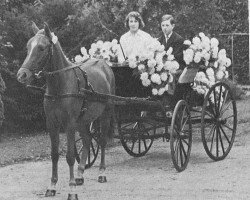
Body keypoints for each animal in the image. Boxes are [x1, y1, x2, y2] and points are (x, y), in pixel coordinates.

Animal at [16, 21, 116, 198]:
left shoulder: (69, 124)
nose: (22, 75)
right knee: (87, 139)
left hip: (105, 114)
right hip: (83, 121)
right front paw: (52, 186)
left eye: (41, 48)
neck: (60, 85)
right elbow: (55, 155)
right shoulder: (52, 124)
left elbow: (69, 156)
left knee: (102, 141)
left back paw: (101, 173)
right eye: (28, 47)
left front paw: (71, 190)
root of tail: (104, 64)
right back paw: (80, 174)